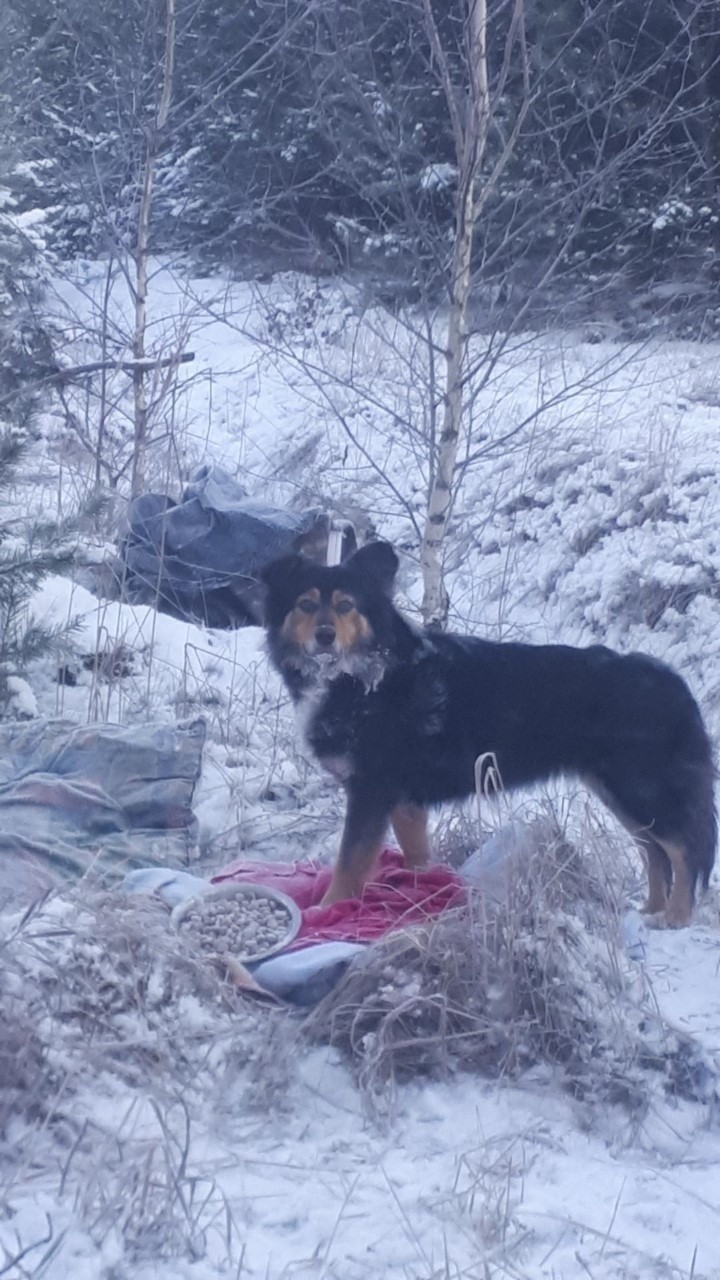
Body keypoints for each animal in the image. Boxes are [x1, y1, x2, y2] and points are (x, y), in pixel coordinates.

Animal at [260, 535, 712, 926]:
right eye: (304, 604)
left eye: (346, 606)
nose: (324, 635)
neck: (364, 675)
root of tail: (673, 681)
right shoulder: (403, 802)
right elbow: (416, 857)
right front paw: (421, 892)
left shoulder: (372, 790)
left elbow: (349, 862)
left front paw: (327, 909)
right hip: (618, 791)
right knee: (654, 851)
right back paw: (651, 910)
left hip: (641, 786)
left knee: (683, 849)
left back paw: (676, 917)